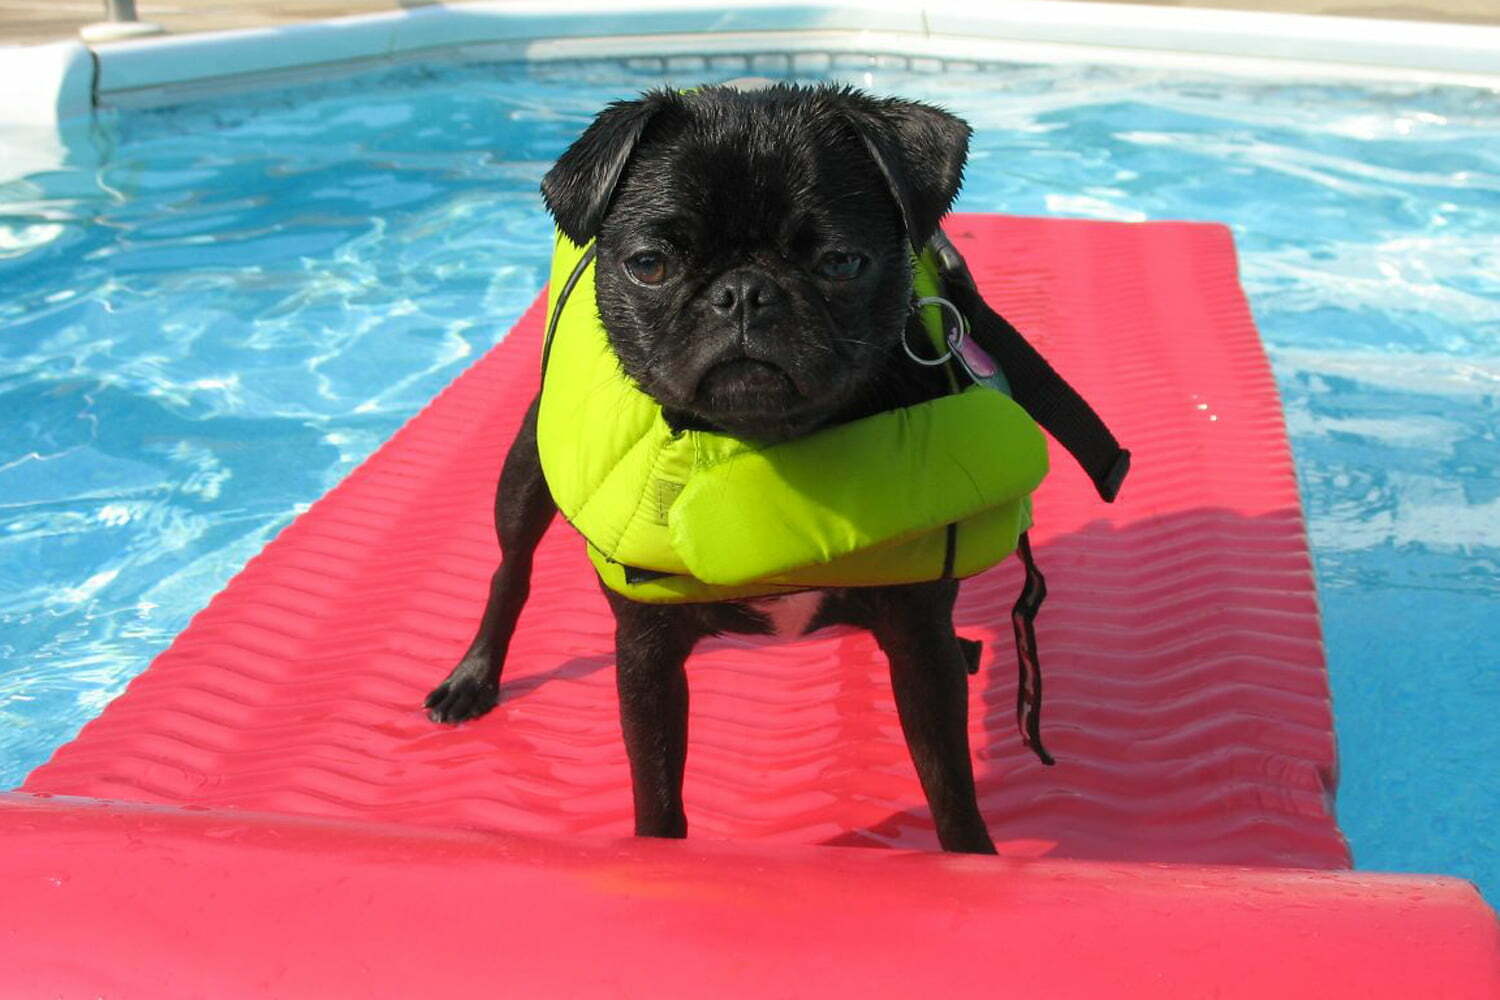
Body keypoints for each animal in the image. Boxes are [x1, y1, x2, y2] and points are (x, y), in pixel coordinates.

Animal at [429, 83, 1002, 851]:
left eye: (841, 263)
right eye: (650, 264)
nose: (744, 293)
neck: (768, 447)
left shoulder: (919, 646)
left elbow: (950, 787)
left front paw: (976, 860)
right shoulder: (646, 657)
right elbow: (657, 792)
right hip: (526, 473)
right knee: (510, 570)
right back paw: (474, 676)